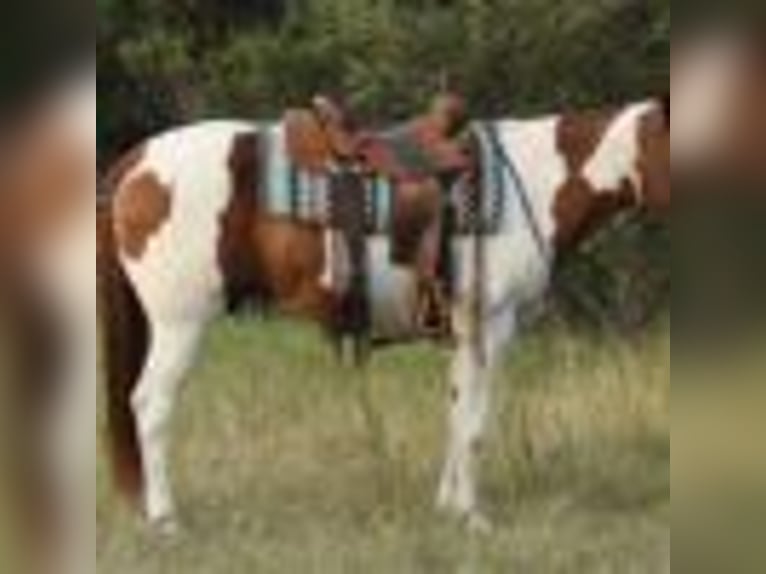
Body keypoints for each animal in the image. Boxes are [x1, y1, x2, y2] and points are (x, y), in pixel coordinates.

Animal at [98, 93, 669, 533]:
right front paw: (473, 517)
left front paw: (448, 508)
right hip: (180, 323)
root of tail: (139, 160)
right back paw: (166, 520)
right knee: (151, 406)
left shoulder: (462, 333)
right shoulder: (490, 326)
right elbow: (475, 424)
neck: (537, 177)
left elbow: (455, 415)